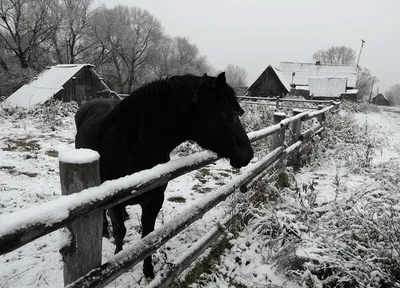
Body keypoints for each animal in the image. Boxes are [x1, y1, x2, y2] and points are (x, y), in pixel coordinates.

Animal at [74, 72, 253, 280]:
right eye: (229, 115)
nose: (248, 155)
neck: (133, 146)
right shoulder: (115, 204)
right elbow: (120, 232)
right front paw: (118, 259)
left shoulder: (155, 200)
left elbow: (148, 236)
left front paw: (148, 270)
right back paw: (103, 229)